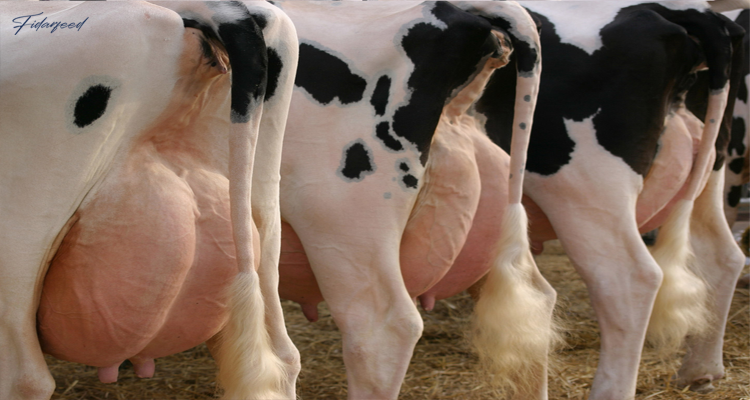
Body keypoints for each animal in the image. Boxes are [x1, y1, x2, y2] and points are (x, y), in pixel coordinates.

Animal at [467, 1, 746, 398]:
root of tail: (670, 10)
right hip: (711, 171)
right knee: (722, 257)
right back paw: (700, 370)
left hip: (583, 187)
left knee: (628, 279)